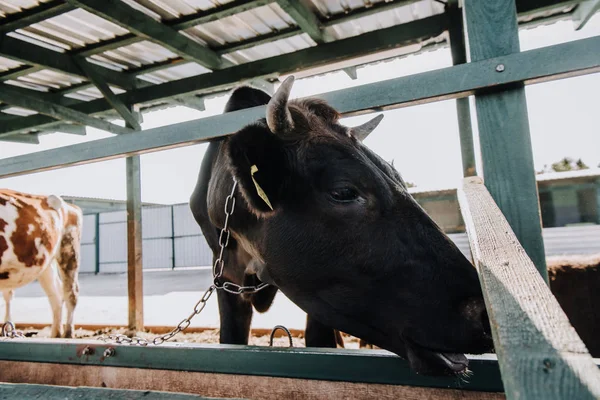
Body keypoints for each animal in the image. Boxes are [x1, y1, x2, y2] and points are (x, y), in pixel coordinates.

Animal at [0, 190, 82, 338]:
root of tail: (70, 206)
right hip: (45, 264)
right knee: (55, 294)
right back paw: (55, 333)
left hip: (69, 248)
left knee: (71, 292)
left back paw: (68, 333)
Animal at [189, 76, 492, 376]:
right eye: (344, 191)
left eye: (399, 178)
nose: (483, 312)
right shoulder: (226, 275)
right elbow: (231, 339)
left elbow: (320, 341)